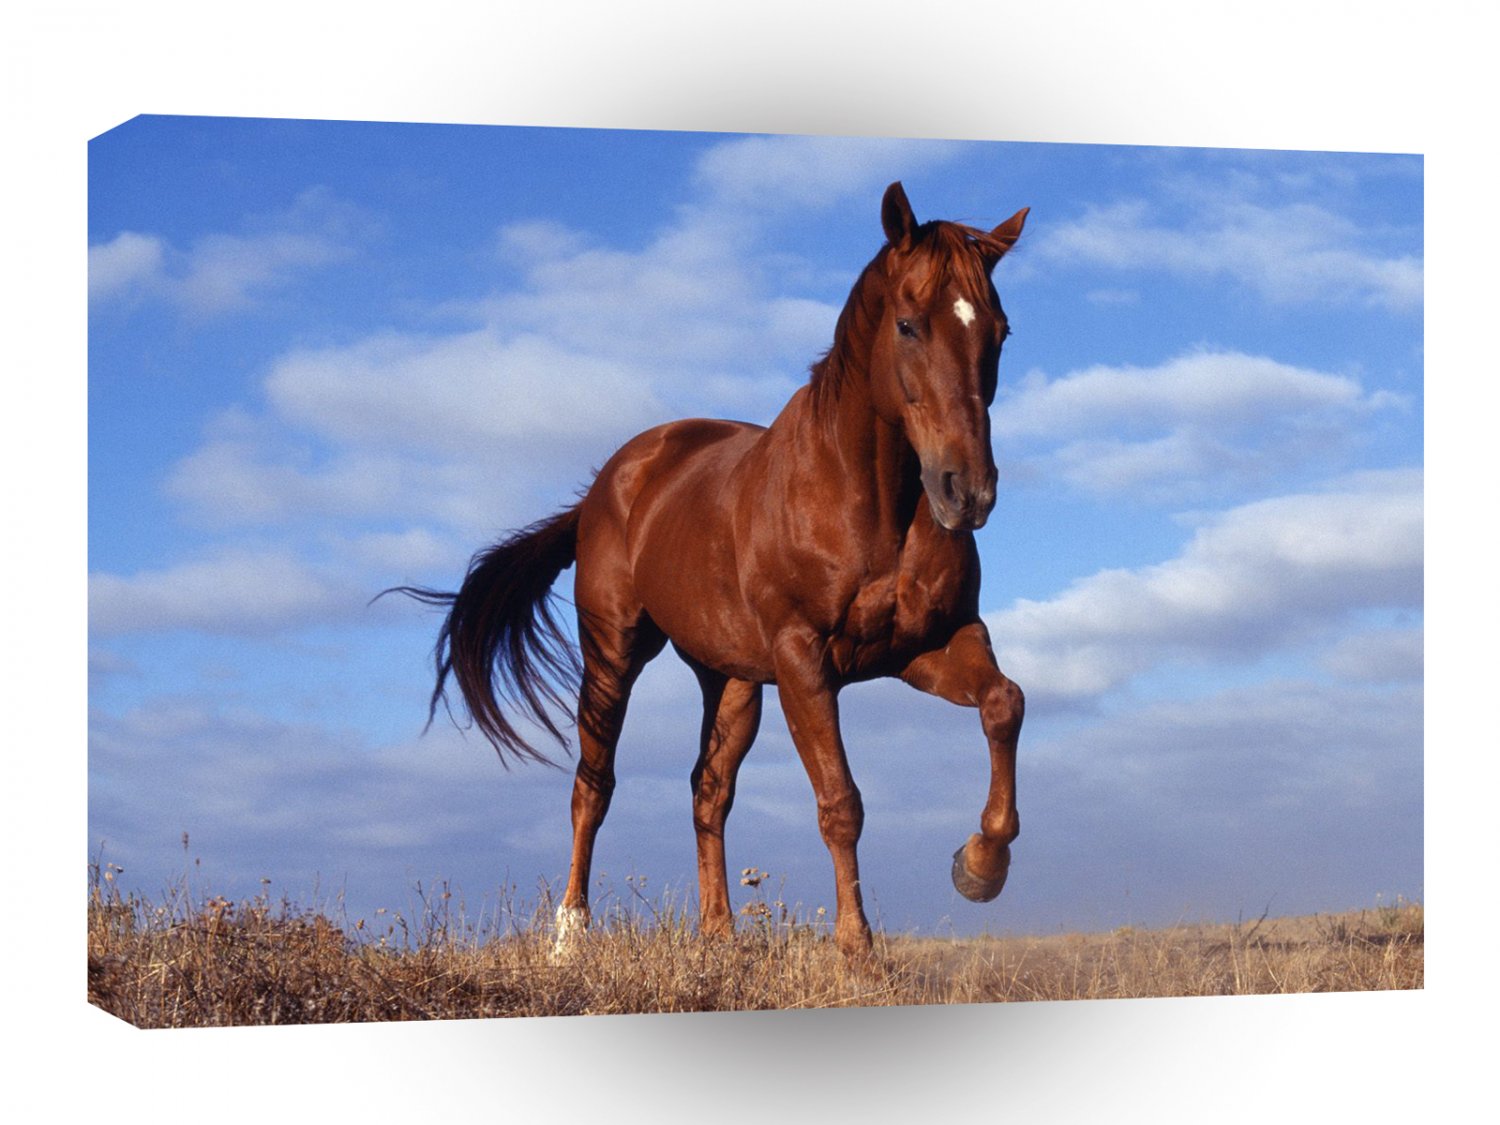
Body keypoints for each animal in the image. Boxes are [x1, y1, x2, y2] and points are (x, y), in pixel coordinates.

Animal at [391, 182, 1030, 959]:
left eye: (999, 332)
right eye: (908, 325)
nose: (968, 491)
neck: (867, 499)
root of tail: (607, 485)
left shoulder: (929, 645)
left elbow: (1004, 703)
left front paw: (980, 866)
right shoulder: (804, 660)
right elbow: (840, 802)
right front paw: (857, 952)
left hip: (729, 679)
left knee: (707, 789)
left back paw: (718, 935)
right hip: (614, 653)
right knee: (593, 785)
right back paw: (570, 934)